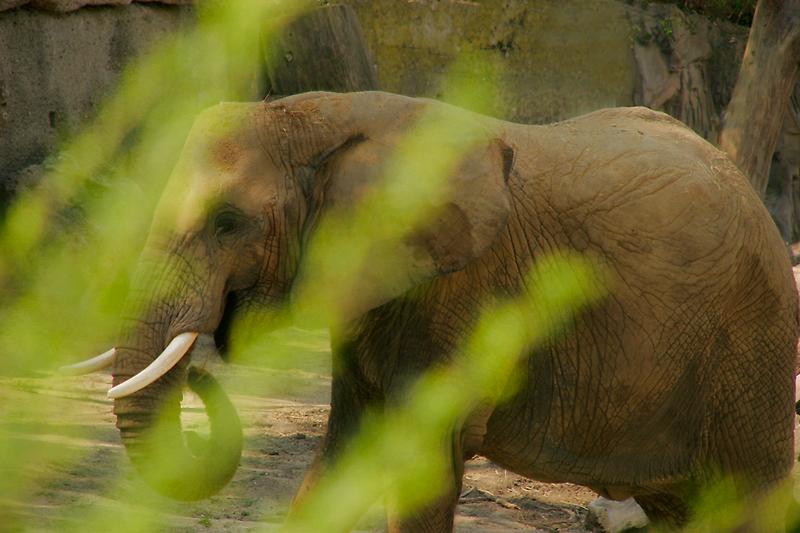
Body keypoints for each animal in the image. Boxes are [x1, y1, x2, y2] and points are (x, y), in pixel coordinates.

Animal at [70, 90, 800, 528]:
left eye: (228, 223)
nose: (200, 367)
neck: (326, 115)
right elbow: (340, 457)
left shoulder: (460, 295)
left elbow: (419, 463)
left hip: (751, 351)